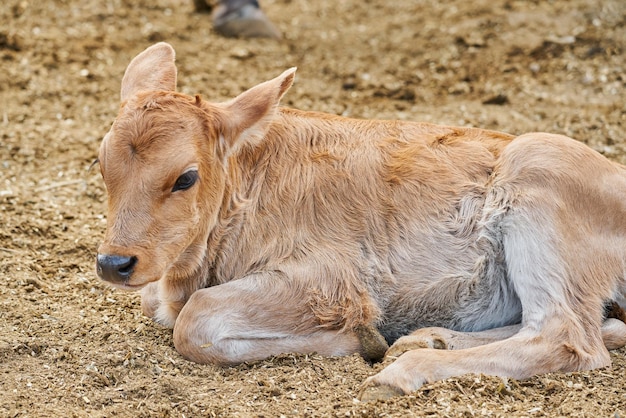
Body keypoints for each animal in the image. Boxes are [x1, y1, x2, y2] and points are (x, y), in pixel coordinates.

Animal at [96, 43, 624, 402]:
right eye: (101, 162)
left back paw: (403, 369)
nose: (114, 263)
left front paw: (359, 339)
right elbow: (157, 304)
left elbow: (195, 320)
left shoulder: (332, 281)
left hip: (540, 180)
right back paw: (424, 338)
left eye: (185, 177)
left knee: (566, 336)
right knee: (595, 327)